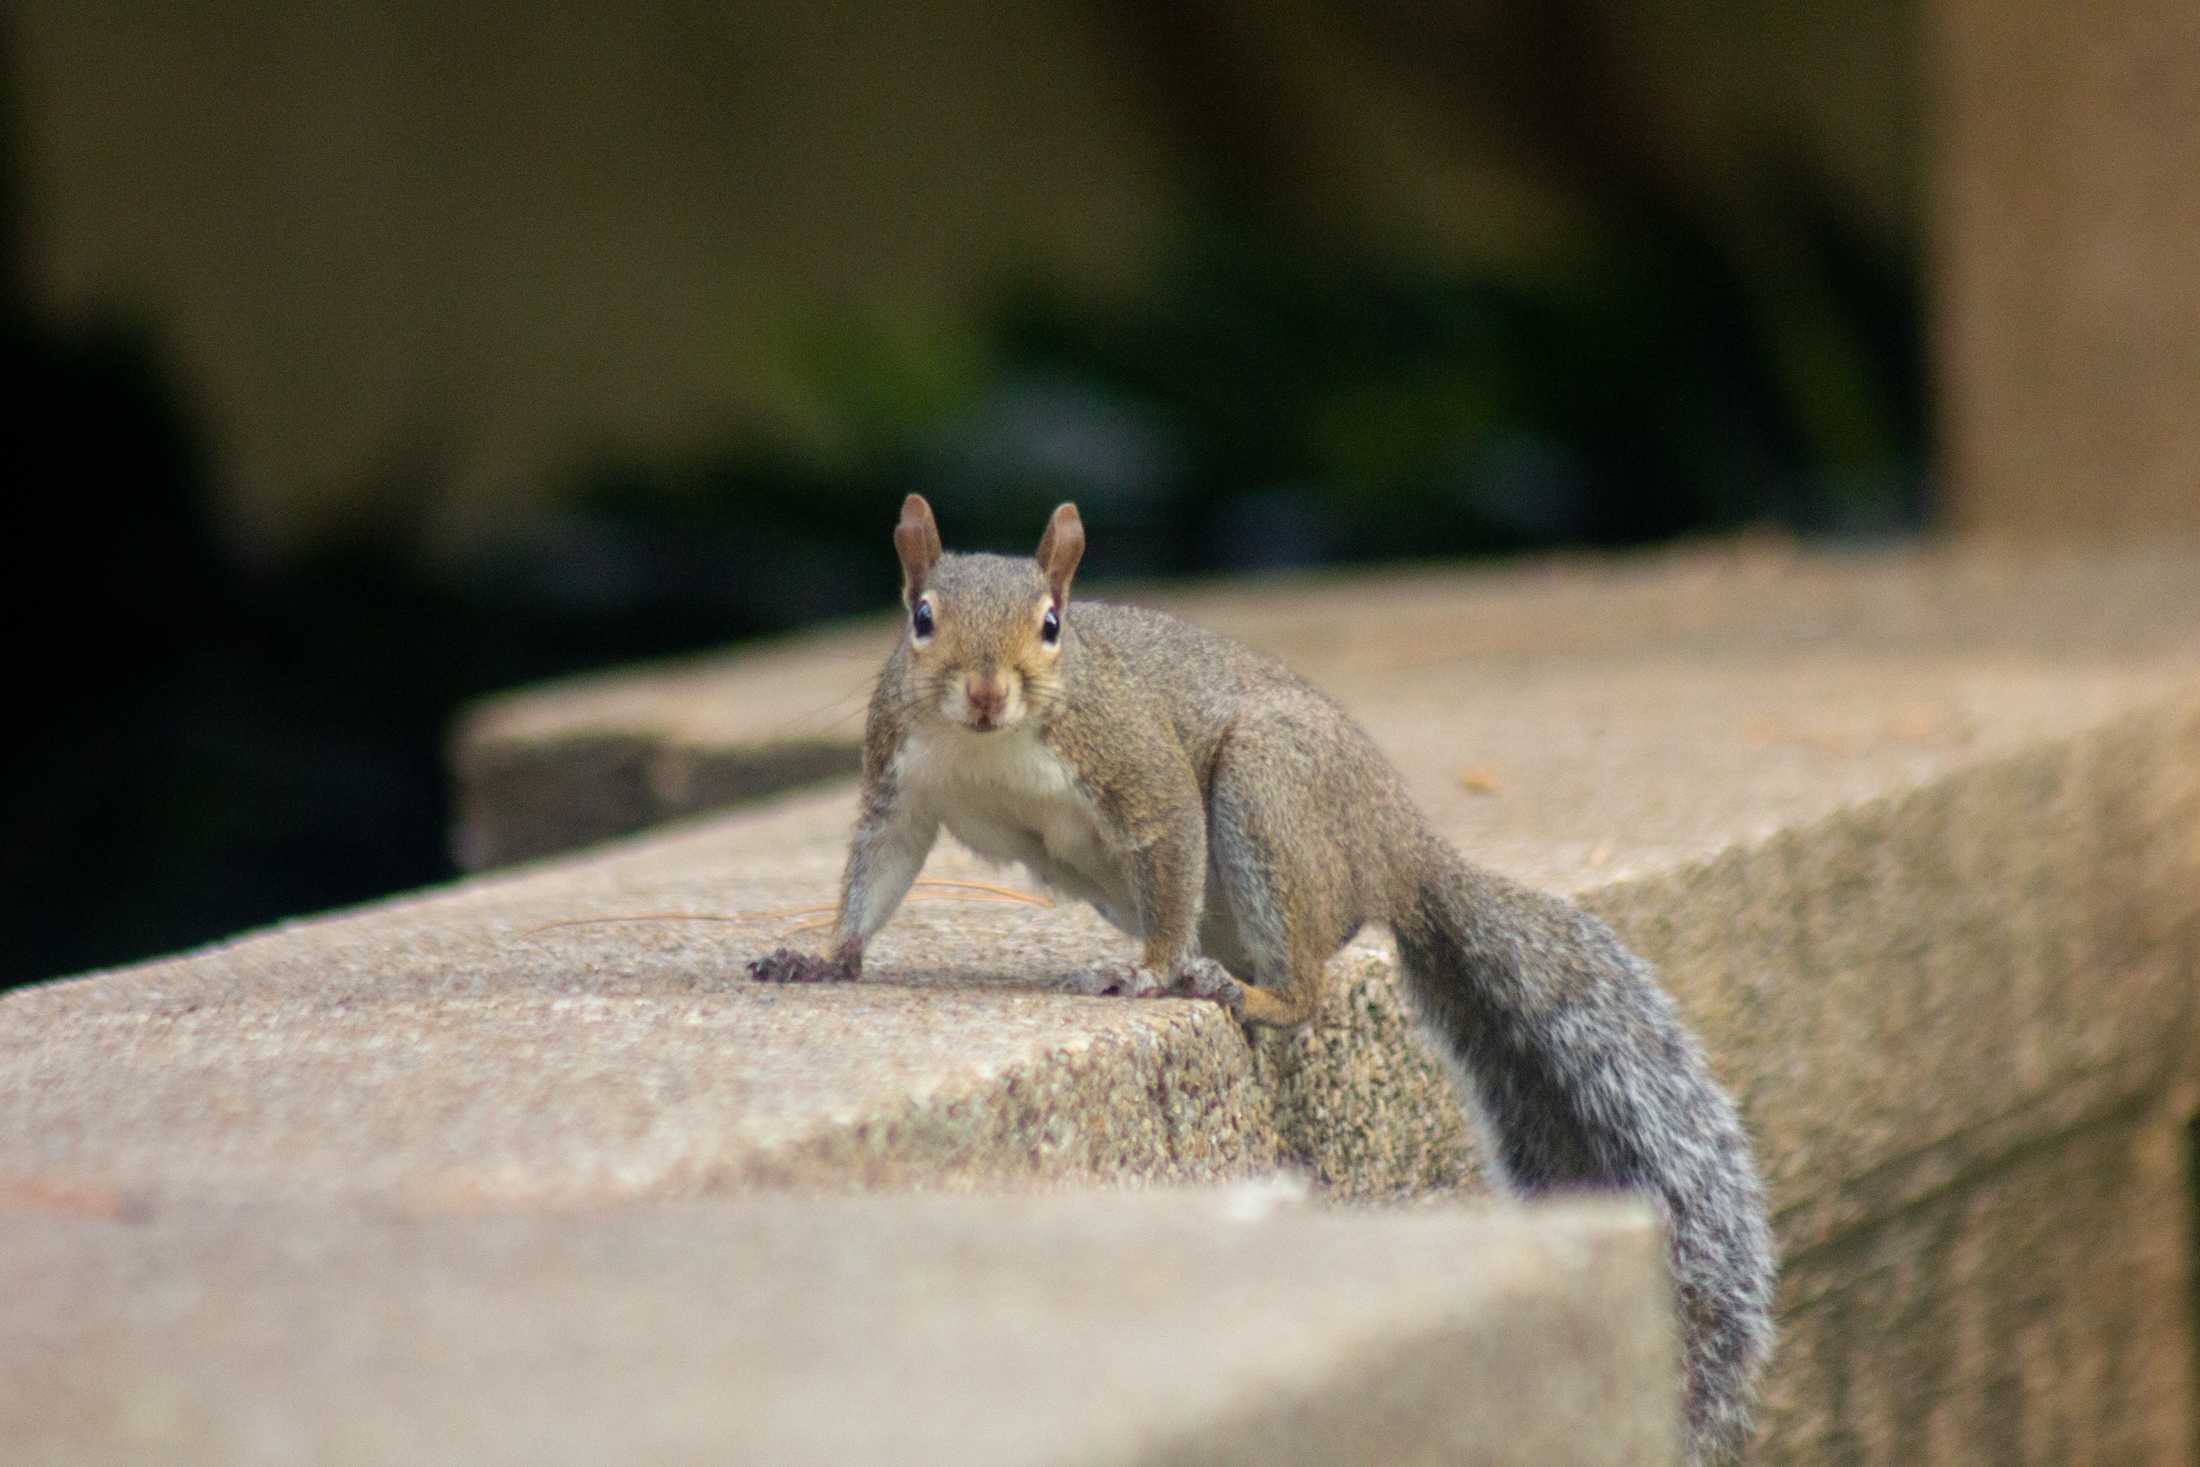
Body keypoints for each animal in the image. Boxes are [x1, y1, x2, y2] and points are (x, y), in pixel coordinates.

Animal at [748, 497, 1777, 1467]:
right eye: (921, 617)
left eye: (1051, 623)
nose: (987, 691)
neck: (989, 744)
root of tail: (1401, 847)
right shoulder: (902, 778)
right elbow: (876, 873)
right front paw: (822, 957)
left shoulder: (1140, 771)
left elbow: (1169, 846)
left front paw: (1145, 972)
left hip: (1266, 788)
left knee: (1308, 982)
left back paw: (1246, 991)